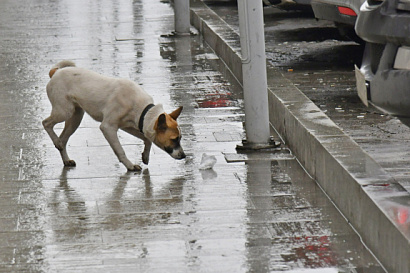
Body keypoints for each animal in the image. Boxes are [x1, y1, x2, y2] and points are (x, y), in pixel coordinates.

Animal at [42, 60, 185, 170]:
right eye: (174, 139)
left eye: (180, 138)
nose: (184, 156)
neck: (143, 110)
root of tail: (55, 72)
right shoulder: (108, 127)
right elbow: (120, 150)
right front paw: (130, 166)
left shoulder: (128, 126)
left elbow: (147, 139)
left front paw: (145, 155)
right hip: (64, 111)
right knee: (46, 123)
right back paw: (56, 140)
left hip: (76, 118)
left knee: (63, 139)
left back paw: (65, 156)